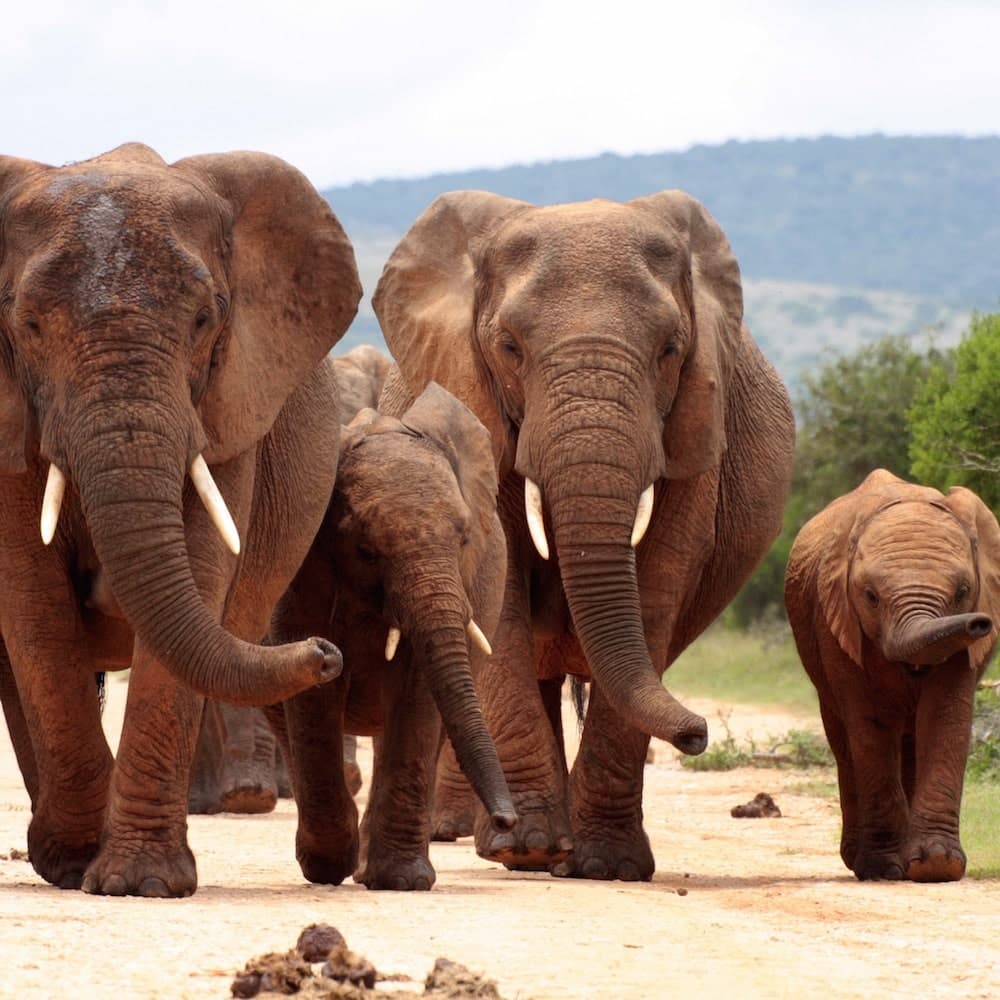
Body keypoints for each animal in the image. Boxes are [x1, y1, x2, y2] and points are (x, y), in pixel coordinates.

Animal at [0, 143, 360, 896]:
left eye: (203, 321)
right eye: (29, 326)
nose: (325, 652)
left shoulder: (228, 405)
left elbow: (198, 568)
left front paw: (138, 883)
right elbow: (33, 603)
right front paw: (81, 862)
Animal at [268, 382, 516, 890]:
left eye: (464, 540)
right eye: (366, 550)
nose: (508, 822)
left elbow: (418, 692)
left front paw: (401, 880)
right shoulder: (302, 570)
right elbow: (315, 689)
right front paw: (329, 867)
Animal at [371, 189, 795, 880]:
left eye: (670, 349)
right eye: (509, 347)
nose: (699, 733)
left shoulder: (694, 431)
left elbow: (656, 586)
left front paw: (608, 866)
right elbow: (503, 588)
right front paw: (530, 850)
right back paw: (504, 840)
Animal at [784, 468, 1000, 882]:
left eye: (963, 591)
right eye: (871, 596)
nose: (980, 624)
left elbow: (945, 716)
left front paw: (936, 865)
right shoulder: (837, 621)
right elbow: (870, 724)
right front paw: (883, 868)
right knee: (844, 740)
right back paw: (860, 859)